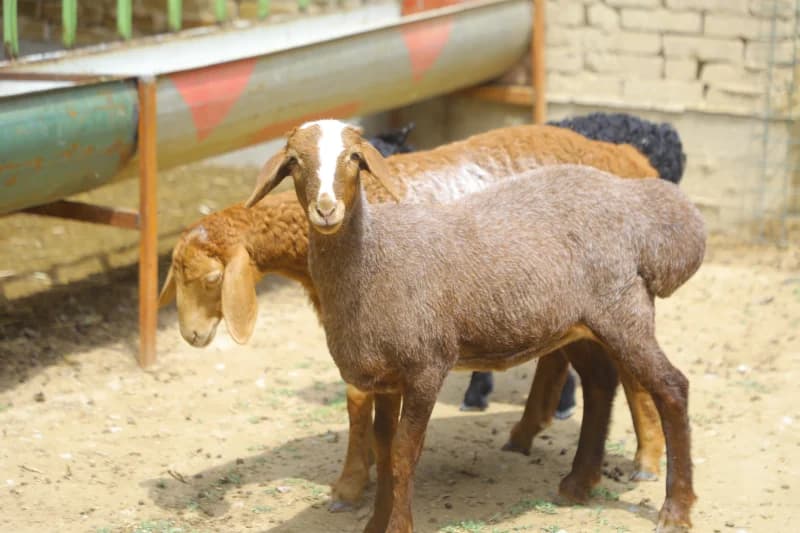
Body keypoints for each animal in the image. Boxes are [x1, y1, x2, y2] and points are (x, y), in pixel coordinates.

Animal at [161, 118, 669, 510]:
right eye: (177, 276)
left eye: (212, 279)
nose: (191, 335)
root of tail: (627, 157)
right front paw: (368, 466)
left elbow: (356, 400)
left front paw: (350, 484)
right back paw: (529, 432)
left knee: (629, 369)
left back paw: (647, 458)